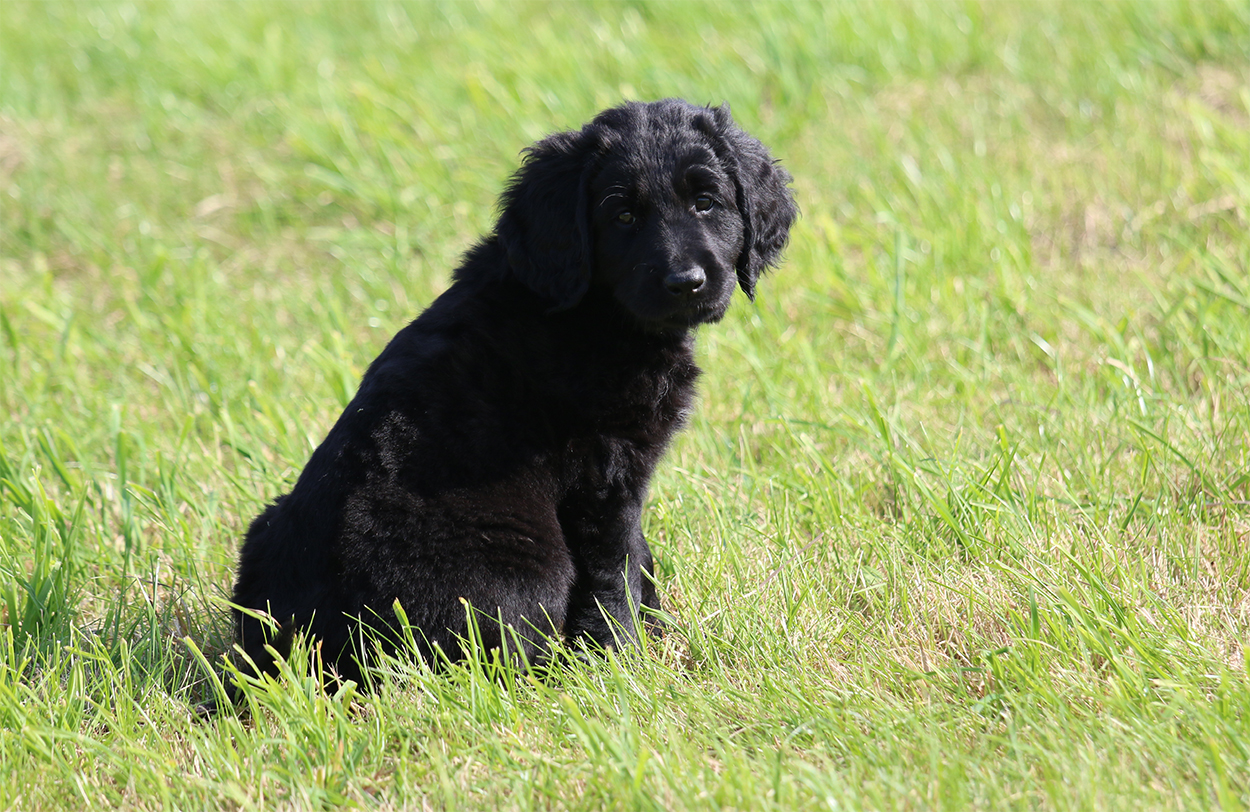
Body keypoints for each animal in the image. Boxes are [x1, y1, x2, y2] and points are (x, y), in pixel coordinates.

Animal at [228, 99, 796, 692]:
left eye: (706, 202)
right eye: (622, 216)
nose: (686, 282)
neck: (593, 309)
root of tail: (307, 655)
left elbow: (639, 557)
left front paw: (659, 632)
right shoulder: (605, 474)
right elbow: (615, 566)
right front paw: (624, 659)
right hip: (523, 571)